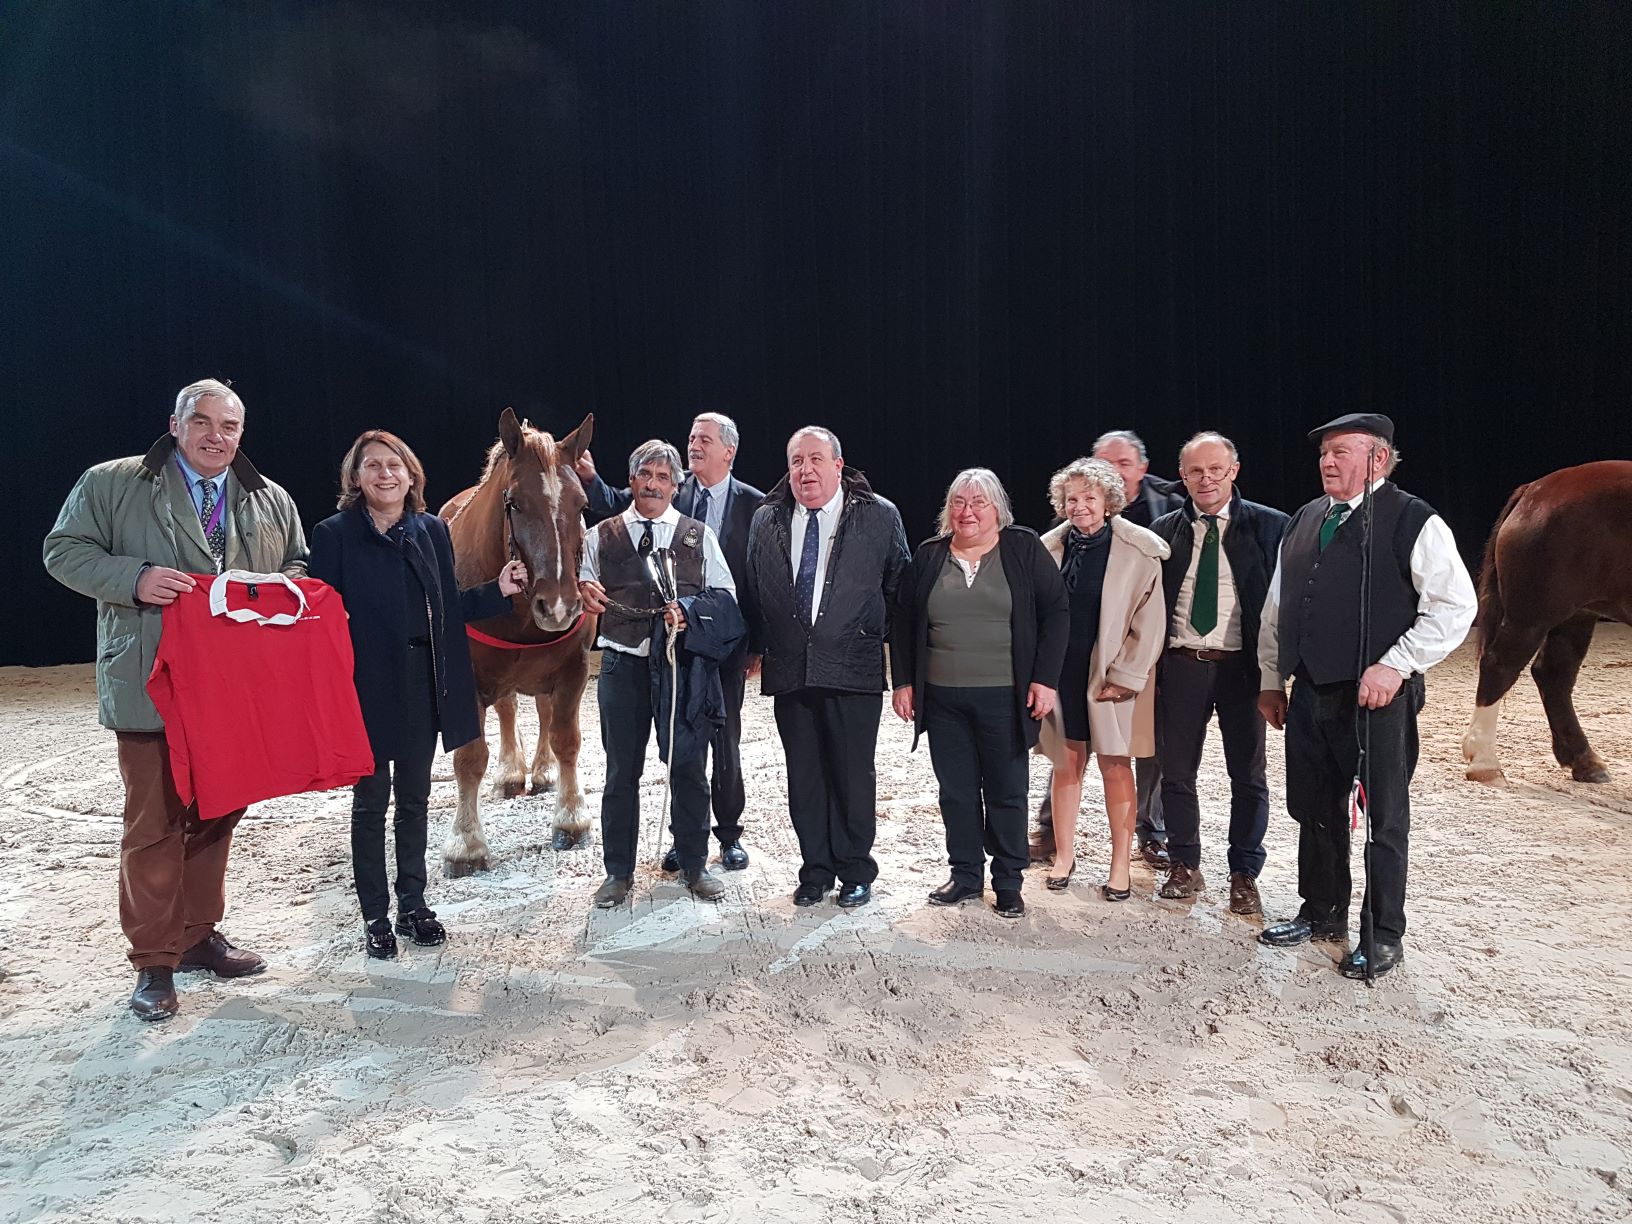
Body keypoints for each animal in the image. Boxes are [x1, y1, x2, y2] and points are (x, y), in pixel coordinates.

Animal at [440, 409, 600, 874]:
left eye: (582, 505)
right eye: (513, 502)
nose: (560, 605)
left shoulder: (573, 669)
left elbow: (567, 739)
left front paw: (571, 817)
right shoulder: (467, 682)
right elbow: (469, 757)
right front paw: (466, 842)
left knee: (542, 712)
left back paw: (541, 770)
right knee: (508, 710)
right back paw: (512, 771)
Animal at [1468, 460, 1632, 786]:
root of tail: (1535, 489)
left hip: (1577, 615)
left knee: (1554, 674)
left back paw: (1584, 760)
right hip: (1532, 616)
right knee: (1499, 666)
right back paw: (1484, 762)